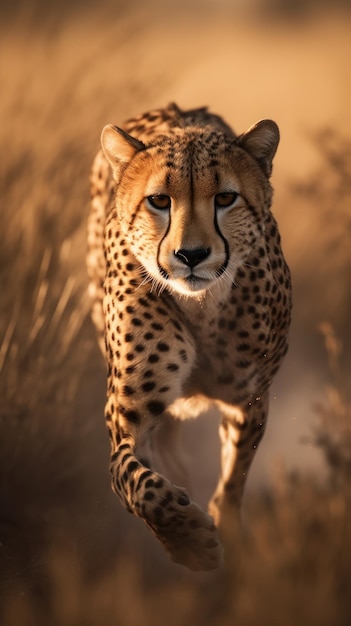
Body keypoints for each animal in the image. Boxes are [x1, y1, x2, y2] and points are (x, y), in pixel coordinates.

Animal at [86, 103, 292, 572]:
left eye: (225, 198)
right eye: (160, 200)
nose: (191, 255)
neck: (202, 305)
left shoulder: (250, 398)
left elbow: (236, 475)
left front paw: (226, 527)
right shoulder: (125, 414)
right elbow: (129, 478)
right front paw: (187, 540)